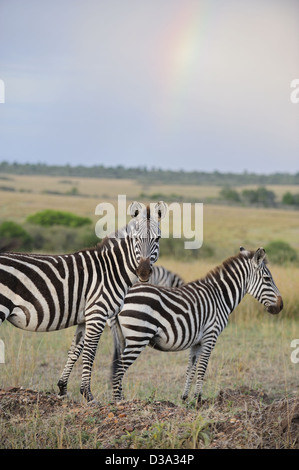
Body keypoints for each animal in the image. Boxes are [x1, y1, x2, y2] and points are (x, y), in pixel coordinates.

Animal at [0, 200, 168, 402]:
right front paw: (87, 394)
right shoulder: (97, 313)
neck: (111, 270)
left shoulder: (84, 317)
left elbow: (75, 351)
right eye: (136, 239)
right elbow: (90, 352)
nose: (143, 272)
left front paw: (62, 389)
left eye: (157, 239)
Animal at [111, 246, 284, 404]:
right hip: (138, 337)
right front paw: (198, 399)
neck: (220, 296)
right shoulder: (211, 336)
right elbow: (202, 368)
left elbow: (191, 368)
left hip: (125, 338)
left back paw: (121, 399)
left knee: (117, 368)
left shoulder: (197, 341)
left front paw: (185, 397)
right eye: (267, 279)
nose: (281, 306)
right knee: (118, 370)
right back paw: (118, 403)